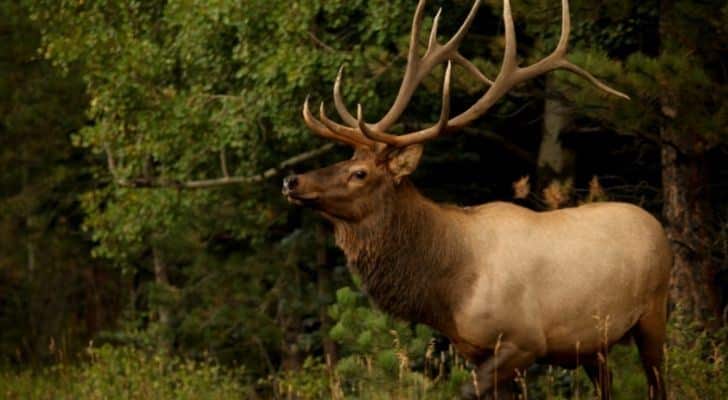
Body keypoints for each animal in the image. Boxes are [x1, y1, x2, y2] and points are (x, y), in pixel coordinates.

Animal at [281, 0, 671, 398]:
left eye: (359, 173)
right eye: (346, 159)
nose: (292, 180)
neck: (448, 290)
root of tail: (656, 224)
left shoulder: (524, 341)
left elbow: (465, 391)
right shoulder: (473, 349)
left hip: (654, 310)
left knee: (658, 381)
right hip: (594, 344)